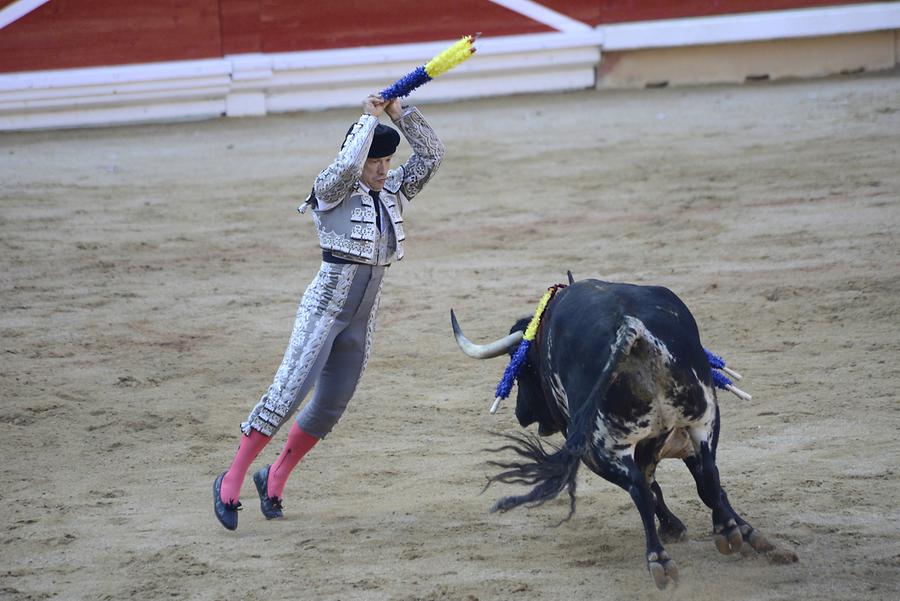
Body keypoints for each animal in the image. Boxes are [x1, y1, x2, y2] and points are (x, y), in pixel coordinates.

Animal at [454, 278, 776, 588]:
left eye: (522, 368)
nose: (521, 414)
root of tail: (632, 328)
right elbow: (701, 484)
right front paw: (743, 530)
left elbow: (651, 487)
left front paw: (674, 528)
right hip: (704, 418)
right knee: (708, 474)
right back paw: (730, 531)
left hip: (599, 447)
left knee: (639, 488)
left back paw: (659, 560)